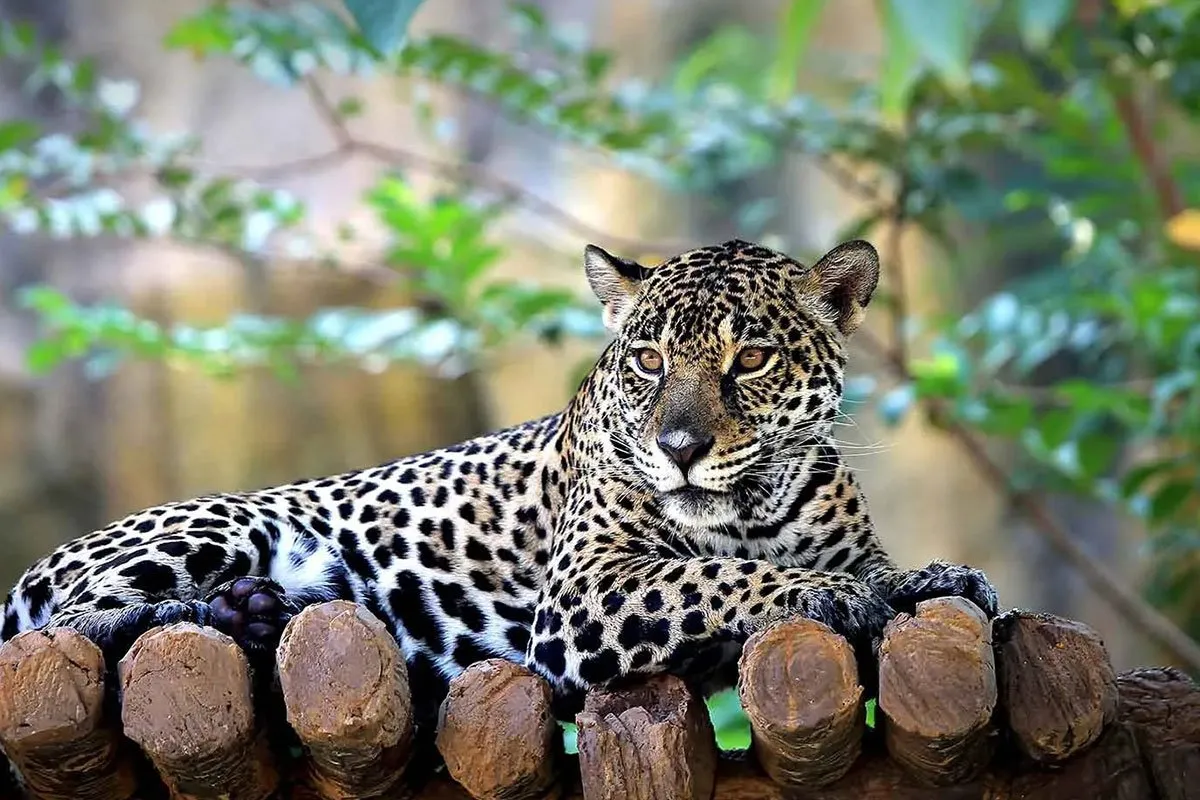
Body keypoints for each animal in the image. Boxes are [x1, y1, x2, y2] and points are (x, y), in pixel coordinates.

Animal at [0, 237, 997, 730]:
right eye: (648, 360)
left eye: (748, 359)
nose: (678, 445)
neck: (749, 507)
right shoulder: (589, 590)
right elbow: (720, 576)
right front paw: (835, 595)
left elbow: (870, 568)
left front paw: (928, 578)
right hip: (218, 524)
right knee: (65, 629)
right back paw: (203, 614)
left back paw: (252, 618)